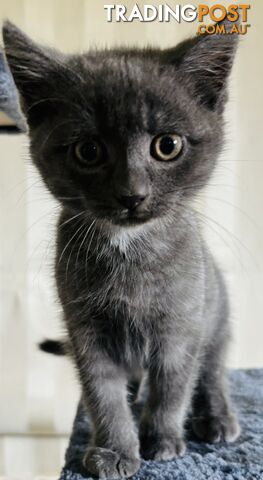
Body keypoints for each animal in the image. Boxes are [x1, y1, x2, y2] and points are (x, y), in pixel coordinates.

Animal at [2, 19, 241, 480]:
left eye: (167, 145)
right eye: (88, 150)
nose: (132, 194)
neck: (130, 251)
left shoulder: (181, 325)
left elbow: (173, 385)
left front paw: (162, 439)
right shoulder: (85, 330)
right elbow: (102, 393)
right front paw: (114, 449)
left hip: (216, 311)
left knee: (212, 370)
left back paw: (216, 416)